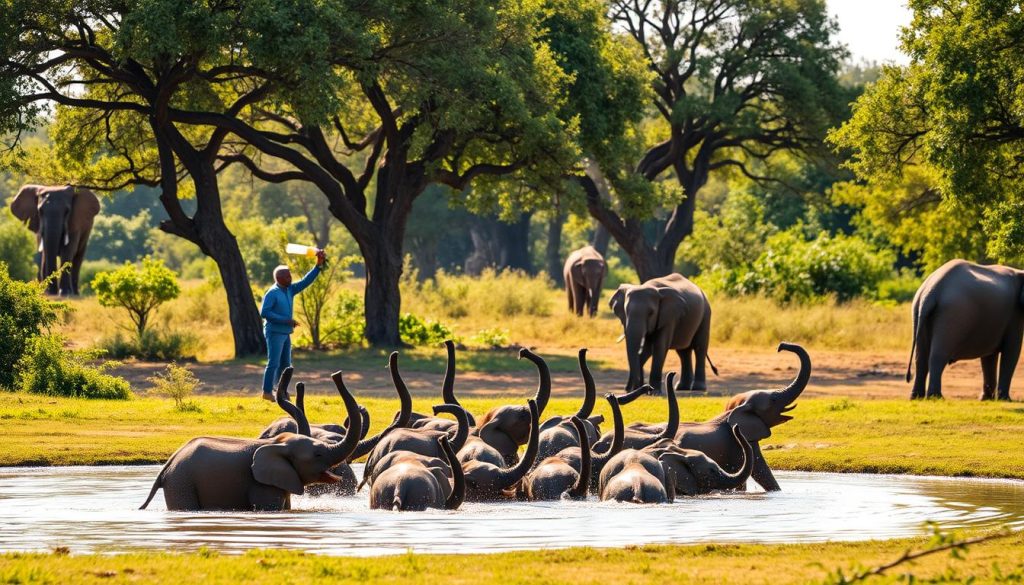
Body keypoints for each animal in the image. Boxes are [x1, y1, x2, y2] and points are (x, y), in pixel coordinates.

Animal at [139, 367, 362, 511]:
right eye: (318, 454)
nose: (336, 375)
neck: (277, 445)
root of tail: (166, 467)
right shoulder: (261, 484)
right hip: (182, 483)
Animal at [906, 259, 1024, 401]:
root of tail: (931, 291)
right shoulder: (1015, 314)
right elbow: (1012, 352)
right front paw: (1005, 400)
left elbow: (989, 357)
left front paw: (986, 399)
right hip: (952, 314)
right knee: (937, 355)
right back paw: (936, 397)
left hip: (918, 312)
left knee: (921, 358)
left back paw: (916, 397)